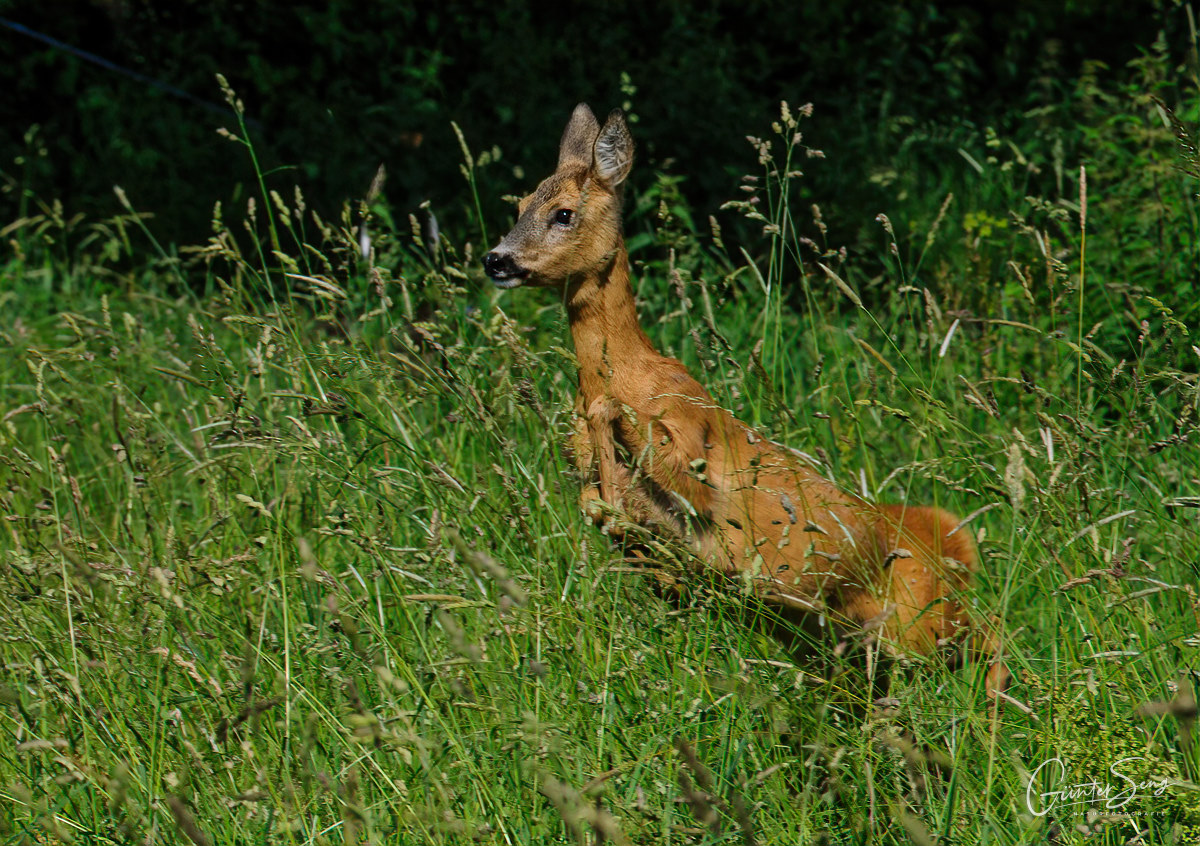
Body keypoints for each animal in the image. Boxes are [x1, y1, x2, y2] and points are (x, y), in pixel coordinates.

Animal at [482, 103, 1008, 691]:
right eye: (521, 205)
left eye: (563, 214)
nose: (496, 259)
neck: (631, 376)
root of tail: (956, 548)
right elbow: (594, 501)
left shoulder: (694, 450)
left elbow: (633, 435)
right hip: (846, 641)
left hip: (918, 620)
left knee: (991, 635)